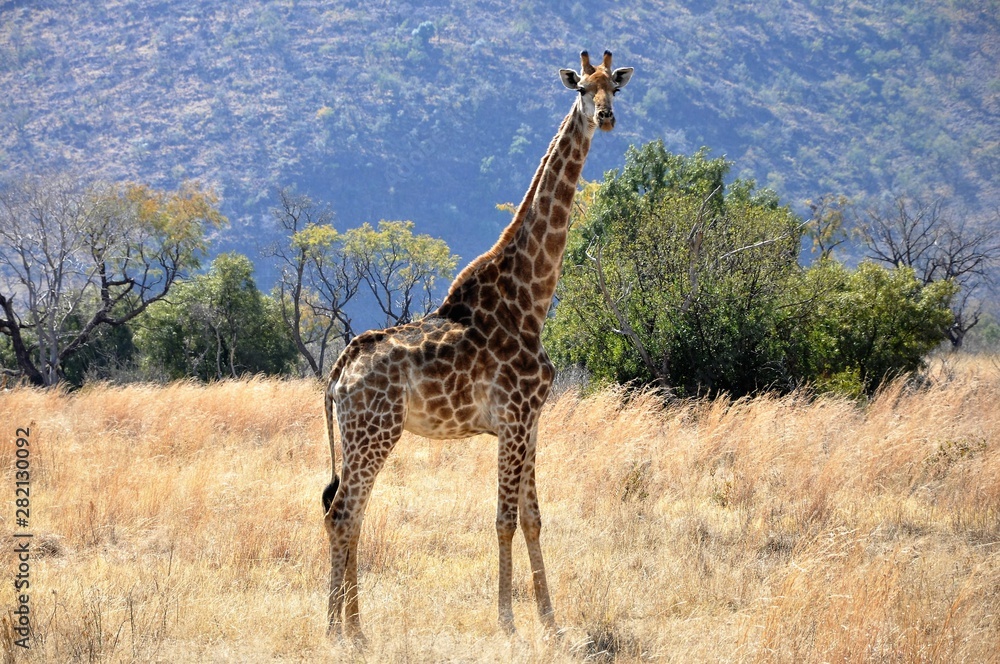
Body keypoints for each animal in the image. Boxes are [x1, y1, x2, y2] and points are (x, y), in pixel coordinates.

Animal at [322, 49, 634, 640]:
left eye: (616, 87)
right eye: (582, 88)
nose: (605, 117)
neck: (530, 298)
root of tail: (338, 372)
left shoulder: (530, 419)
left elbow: (533, 518)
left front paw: (551, 623)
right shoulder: (513, 416)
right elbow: (504, 519)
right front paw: (508, 622)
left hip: (357, 438)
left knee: (350, 513)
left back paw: (355, 628)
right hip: (374, 433)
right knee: (342, 513)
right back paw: (336, 632)